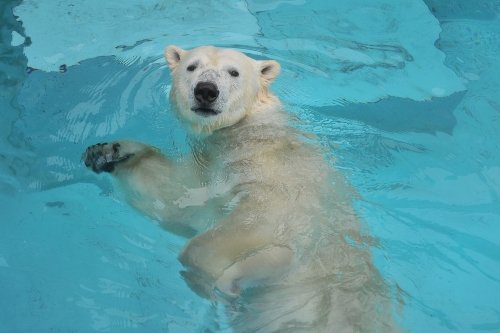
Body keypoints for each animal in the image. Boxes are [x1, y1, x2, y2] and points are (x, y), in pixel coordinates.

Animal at [84, 45, 400, 330]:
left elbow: (261, 215)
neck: (242, 132)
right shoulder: (207, 167)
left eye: (233, 72)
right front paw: (108, 152)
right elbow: (175, 199)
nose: (206, 91)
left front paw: (211, 277)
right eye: (192, 66)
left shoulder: (274, 172)